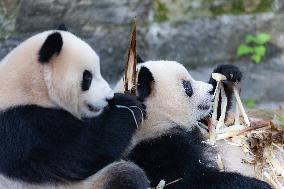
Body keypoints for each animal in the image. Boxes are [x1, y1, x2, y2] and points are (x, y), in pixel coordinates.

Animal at [0, 25, 150, 189]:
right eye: (87, 77)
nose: (108, 97)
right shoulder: (24, 127)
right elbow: (79, 151)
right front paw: (128, 106)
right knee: (126, 176)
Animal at [113, 58, 270, 188]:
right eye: (187, 86)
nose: (210, 90)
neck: (157, 121)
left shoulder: (199, 125)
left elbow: (215, 115)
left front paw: (227, 73)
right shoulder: (155, 151)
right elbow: (193, 180)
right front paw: (258, 185)